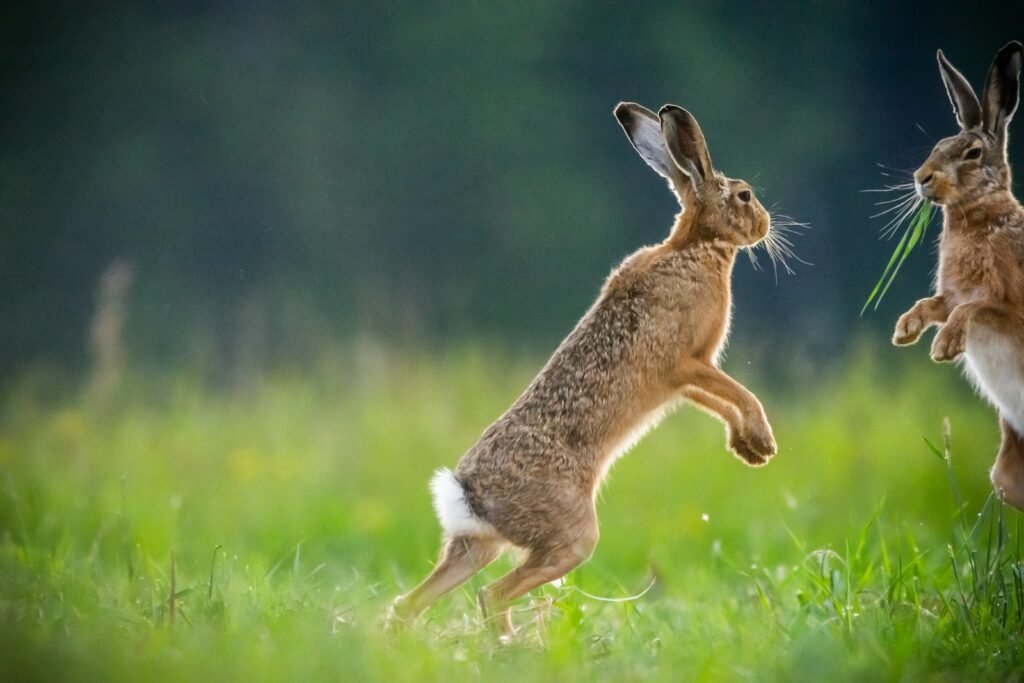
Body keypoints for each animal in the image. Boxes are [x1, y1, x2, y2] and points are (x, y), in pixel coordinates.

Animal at [387, 102, 778, 637]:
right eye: (744, 195)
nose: (764, 224)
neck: (695, 247)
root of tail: (468, 495)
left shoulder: (683, 381)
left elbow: (720, 401)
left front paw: (745, 448)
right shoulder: (688, 362)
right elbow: (739, 393)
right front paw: (763, 444)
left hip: (477, 546)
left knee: (412, 602)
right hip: (571, 537)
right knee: (492, 594)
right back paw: (511, 645)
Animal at [892, 41, 1024, 508]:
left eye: (972, 154)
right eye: (939, 144)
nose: (921, 178)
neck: (980, 215)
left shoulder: (1007, 306)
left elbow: (974, 310)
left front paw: (945, 346)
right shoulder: (950, 294)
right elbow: (934, 305)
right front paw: (905, 330)